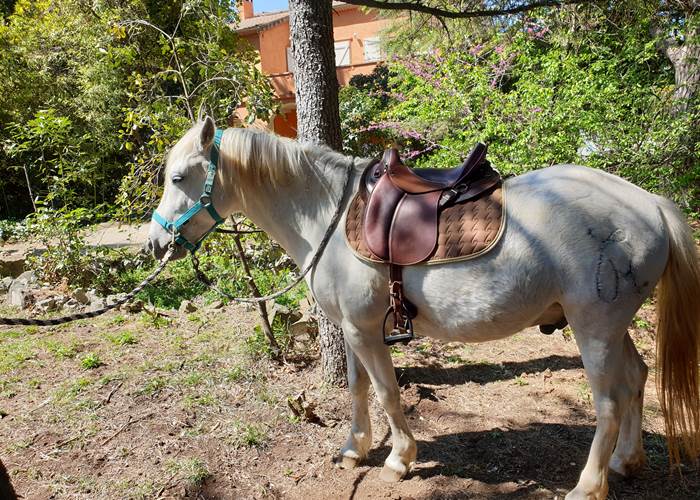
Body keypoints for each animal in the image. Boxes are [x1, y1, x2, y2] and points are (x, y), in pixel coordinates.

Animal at [148, 117, 700, 500]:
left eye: (178, 177)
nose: (154, 244)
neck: (328, 215)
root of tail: (649, 203)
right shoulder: (355, 328)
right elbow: (357, 389)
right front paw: (354, 449)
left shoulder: (365, 331)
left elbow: (387, 393)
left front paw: (399, 459)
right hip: (613, 327)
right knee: (637, 379)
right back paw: (627, 461)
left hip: (594, 328)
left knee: (608, 402)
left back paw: (589, 485)